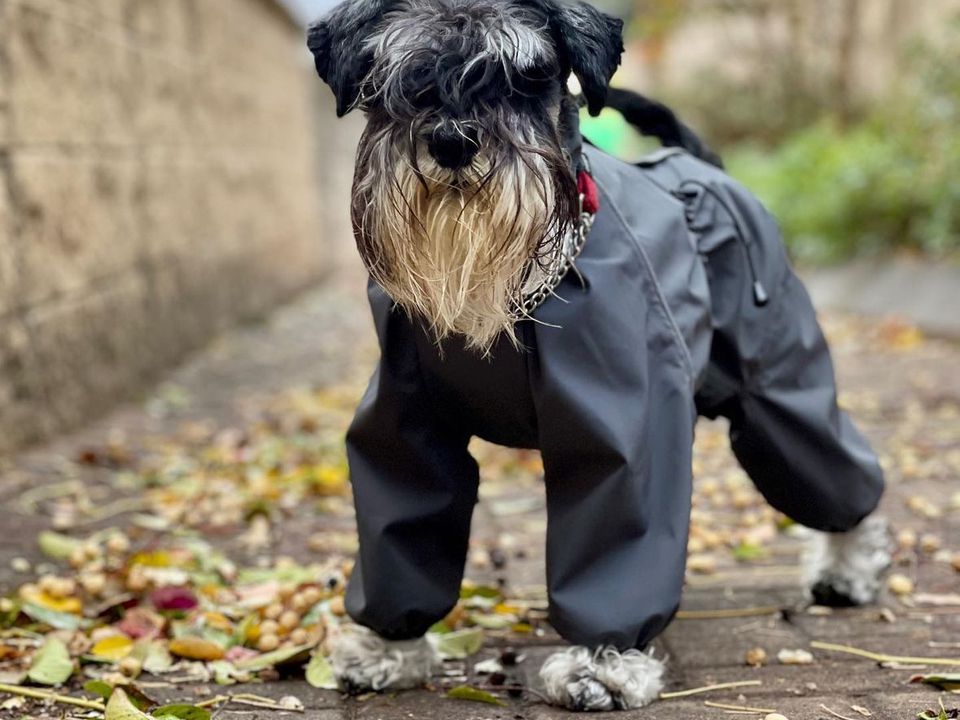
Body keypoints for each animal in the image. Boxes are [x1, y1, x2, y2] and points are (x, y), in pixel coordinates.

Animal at [306, 0, 892, 708]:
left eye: (527, 76)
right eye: (395, 79)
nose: (452, 141)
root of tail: (700, 167)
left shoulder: (625, 430)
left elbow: (618, 532)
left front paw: (604, 664)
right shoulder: (404, 429)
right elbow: (403, 523)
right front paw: (387, 649)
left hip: (779, 394)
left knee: (837, 474)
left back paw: (849, 571)